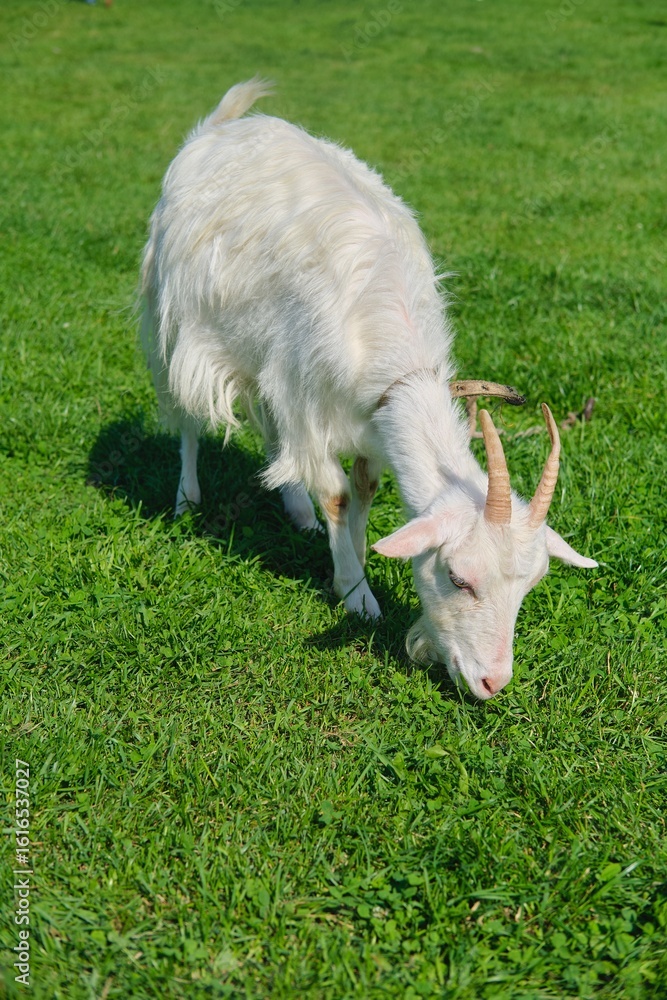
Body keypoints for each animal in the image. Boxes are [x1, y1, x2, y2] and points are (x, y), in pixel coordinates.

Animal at [141, 79, 597, 700]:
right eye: (458, 577)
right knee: (187, 414)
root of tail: (222, 125)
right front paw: (357, 595)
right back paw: (187, 499)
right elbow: (336, 492)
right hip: (173, 314)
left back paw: (297, 513)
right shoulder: (307, 398)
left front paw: (350, 556)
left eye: (529, 586)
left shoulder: (366, 419)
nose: (492, 682)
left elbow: (362, 490)